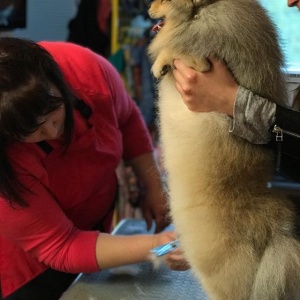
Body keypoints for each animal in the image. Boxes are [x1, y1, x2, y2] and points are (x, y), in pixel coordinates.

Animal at [148, 0, 300, 300]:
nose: (148, 8)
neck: (202, 11)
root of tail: (279, 233)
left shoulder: (202, 59)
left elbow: (179, 50)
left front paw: (161, 63)